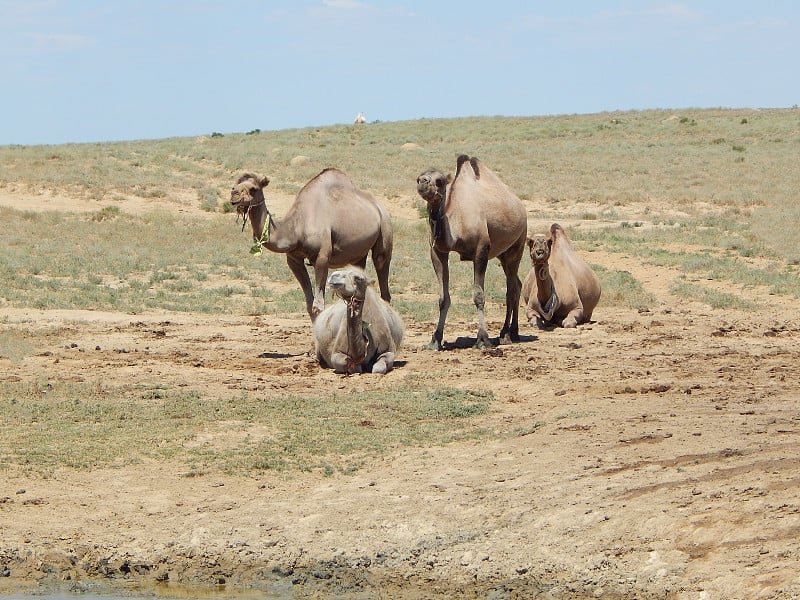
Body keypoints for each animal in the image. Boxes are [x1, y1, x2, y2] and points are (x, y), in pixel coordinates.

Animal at [230, 166, 392, 322]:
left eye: (253, 188)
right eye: (235, 185)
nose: (234, 195)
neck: (296, 227)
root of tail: (378, 206)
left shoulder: (322, 257)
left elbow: (318, 306)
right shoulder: (293, 259)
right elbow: (309, 304)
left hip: (385, 230)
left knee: (382, 268)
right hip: (359, 254)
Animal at [416, 156, 528, 352]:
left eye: (440, 181)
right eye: (419, 178)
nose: (423, 182)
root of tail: (520, 206)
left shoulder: (481, 250)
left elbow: (479, 296)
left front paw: (482, 339)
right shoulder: (437, 251)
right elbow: (443, 298)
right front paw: (434, 340)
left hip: (518, 244)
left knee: (512, 289)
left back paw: (506, 334)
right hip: (503, 254)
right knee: (517, 283)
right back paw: (512, 332)